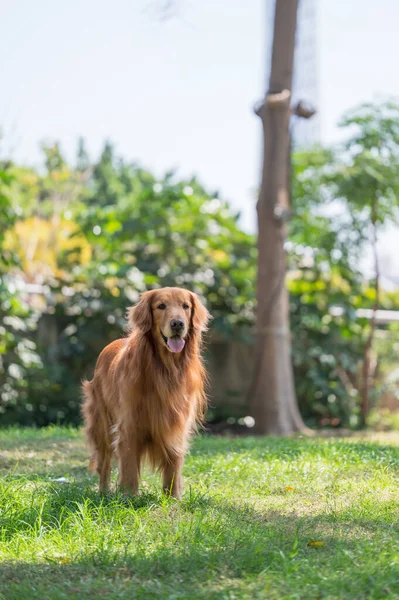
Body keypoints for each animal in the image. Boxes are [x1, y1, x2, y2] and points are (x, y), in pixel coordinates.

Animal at [82, 286, 212, 496]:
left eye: (185, 306)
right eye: (161, 306)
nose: (177, 324)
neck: (165, 369)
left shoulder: (176, 424)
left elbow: (173, 466)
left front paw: (172, 498)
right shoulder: (129, 425)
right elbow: (128, 467)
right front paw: (128, 497)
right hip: (101, 423)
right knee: (104, 463)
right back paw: (104, 492)